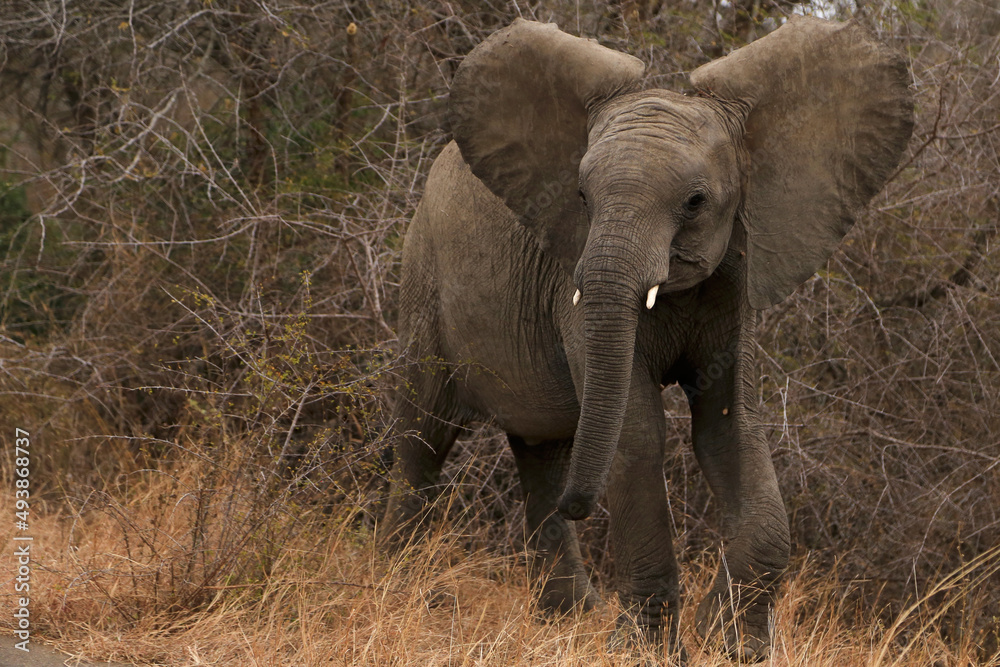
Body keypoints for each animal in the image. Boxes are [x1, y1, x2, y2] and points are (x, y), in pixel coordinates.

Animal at [380, 16, 913, 661]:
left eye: (695, 202)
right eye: (581, 197)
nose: (583, 510)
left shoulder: (734, 280)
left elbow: (729, 429)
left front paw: (732, 644)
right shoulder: (570, 283)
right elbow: (637, 432)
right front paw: (647, 650)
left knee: (543, 449)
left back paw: (568, 615)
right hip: (423, 276)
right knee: (425, 430)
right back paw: (399, 589)